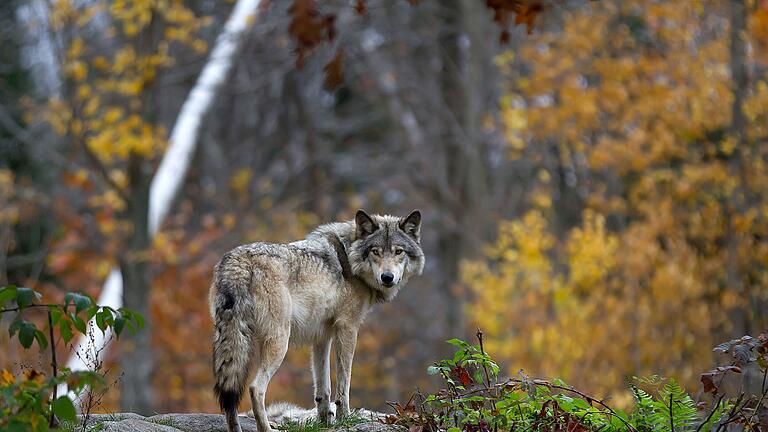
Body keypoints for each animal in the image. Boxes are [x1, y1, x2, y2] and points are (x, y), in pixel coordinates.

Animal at [210, 209, 426, 432]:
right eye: (376, 251)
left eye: (398, 251)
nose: (387, 277)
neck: (349, 259)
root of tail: (238, 261)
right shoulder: (348, 328)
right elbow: (343, 384)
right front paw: (344, 418)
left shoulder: (322, 337)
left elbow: (323, 389)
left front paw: (325, 423)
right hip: (279, 342)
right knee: (255, 388)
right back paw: (267, 428)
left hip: (232, 342)